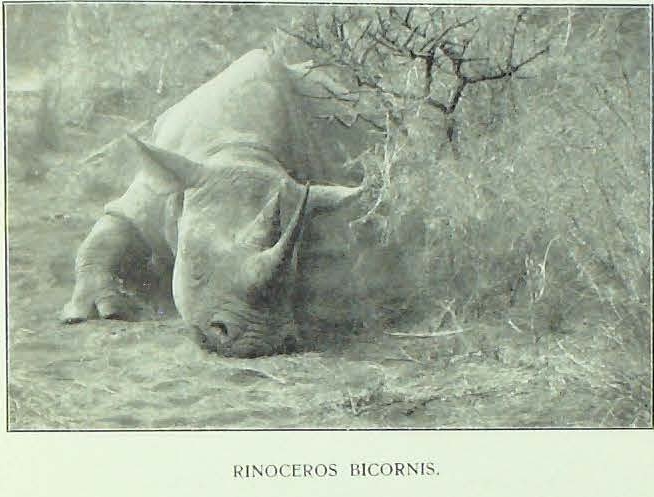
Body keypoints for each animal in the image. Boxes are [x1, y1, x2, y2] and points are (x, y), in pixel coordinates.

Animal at [61, 49, 374, 358]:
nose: (256, 343)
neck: (238, 149)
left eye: (293, 276)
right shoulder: (166, 185)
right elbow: (112, 230)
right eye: (196, 269)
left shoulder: (310, 202)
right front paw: (104, 310)